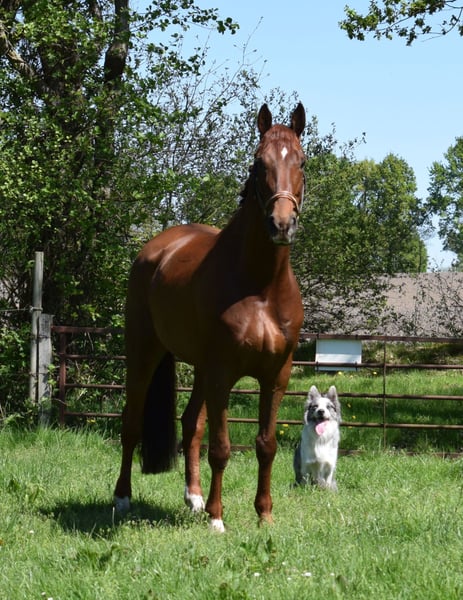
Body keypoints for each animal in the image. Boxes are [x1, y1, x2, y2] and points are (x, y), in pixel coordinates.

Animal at [114, 103, 306, 532]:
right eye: (258, 163)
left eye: (302, 161)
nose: (282, 224)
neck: (260, 288)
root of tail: (155, 249)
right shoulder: (223, 374)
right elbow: (220, 447)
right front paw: (218, 519)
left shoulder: (276, 376)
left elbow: (265, 445)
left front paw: (264, 514)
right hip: (144, 355)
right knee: (131, 424)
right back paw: (122, 498)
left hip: (200, 369)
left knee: (190, 425)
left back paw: (194, 497)